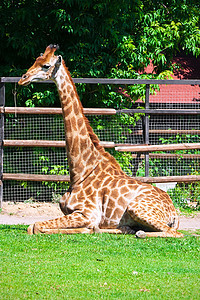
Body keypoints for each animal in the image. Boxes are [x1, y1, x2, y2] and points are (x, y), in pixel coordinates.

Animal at [18, 44, 183, 237]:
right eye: (35, 61)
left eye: (46, 66)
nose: (23, 79)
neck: (80, 172)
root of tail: (174, 211)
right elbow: (33, 226)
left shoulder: (86, 213)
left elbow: (35, 226)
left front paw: (88, 229)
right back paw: (125, 228)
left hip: (138, 209)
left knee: (175, 233)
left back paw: (139, 232)